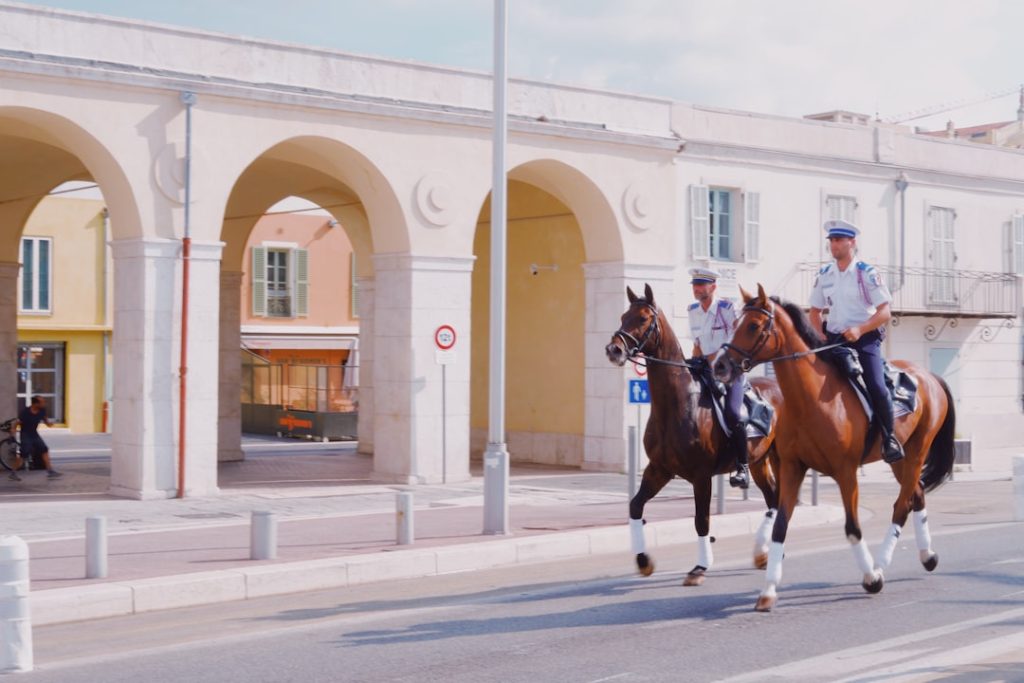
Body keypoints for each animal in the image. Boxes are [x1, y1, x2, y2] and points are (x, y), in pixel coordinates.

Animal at [605, 284, 785, 586]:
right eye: (622, 316)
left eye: (642, 318)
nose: (613, 349)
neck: (676, 403)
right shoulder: (659, 469)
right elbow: (635, 506)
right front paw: (643, 560)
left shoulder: (701, 476)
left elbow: (702, 521)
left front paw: (700, 567)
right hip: (760, 461)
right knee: (773, 499)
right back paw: (764, 553)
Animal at [713, 284, 956, 612]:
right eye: (735, 322)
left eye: (752, 325)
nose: (720, 365)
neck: (811, 399)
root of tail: (929, 377)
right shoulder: (792, 468)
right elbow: (780, 526)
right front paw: (768, 591)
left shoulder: (845, 472)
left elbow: (852, 528)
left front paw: (870, 578)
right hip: (898, 458)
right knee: (915, 494)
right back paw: (927, 555)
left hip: (918, 450)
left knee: (901, 505)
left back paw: (881, 565)